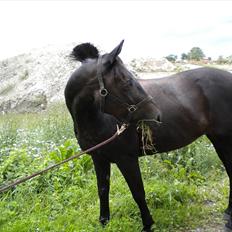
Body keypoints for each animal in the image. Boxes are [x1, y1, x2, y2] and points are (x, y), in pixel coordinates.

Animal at [64, 40, 232, 231]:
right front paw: (104, 221)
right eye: (127, 81)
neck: (97, 119)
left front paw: (147, 224)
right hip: (219, 140)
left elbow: (137, 192)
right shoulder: (99, 159)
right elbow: (103, 190)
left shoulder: (127, 159)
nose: (157, 114)